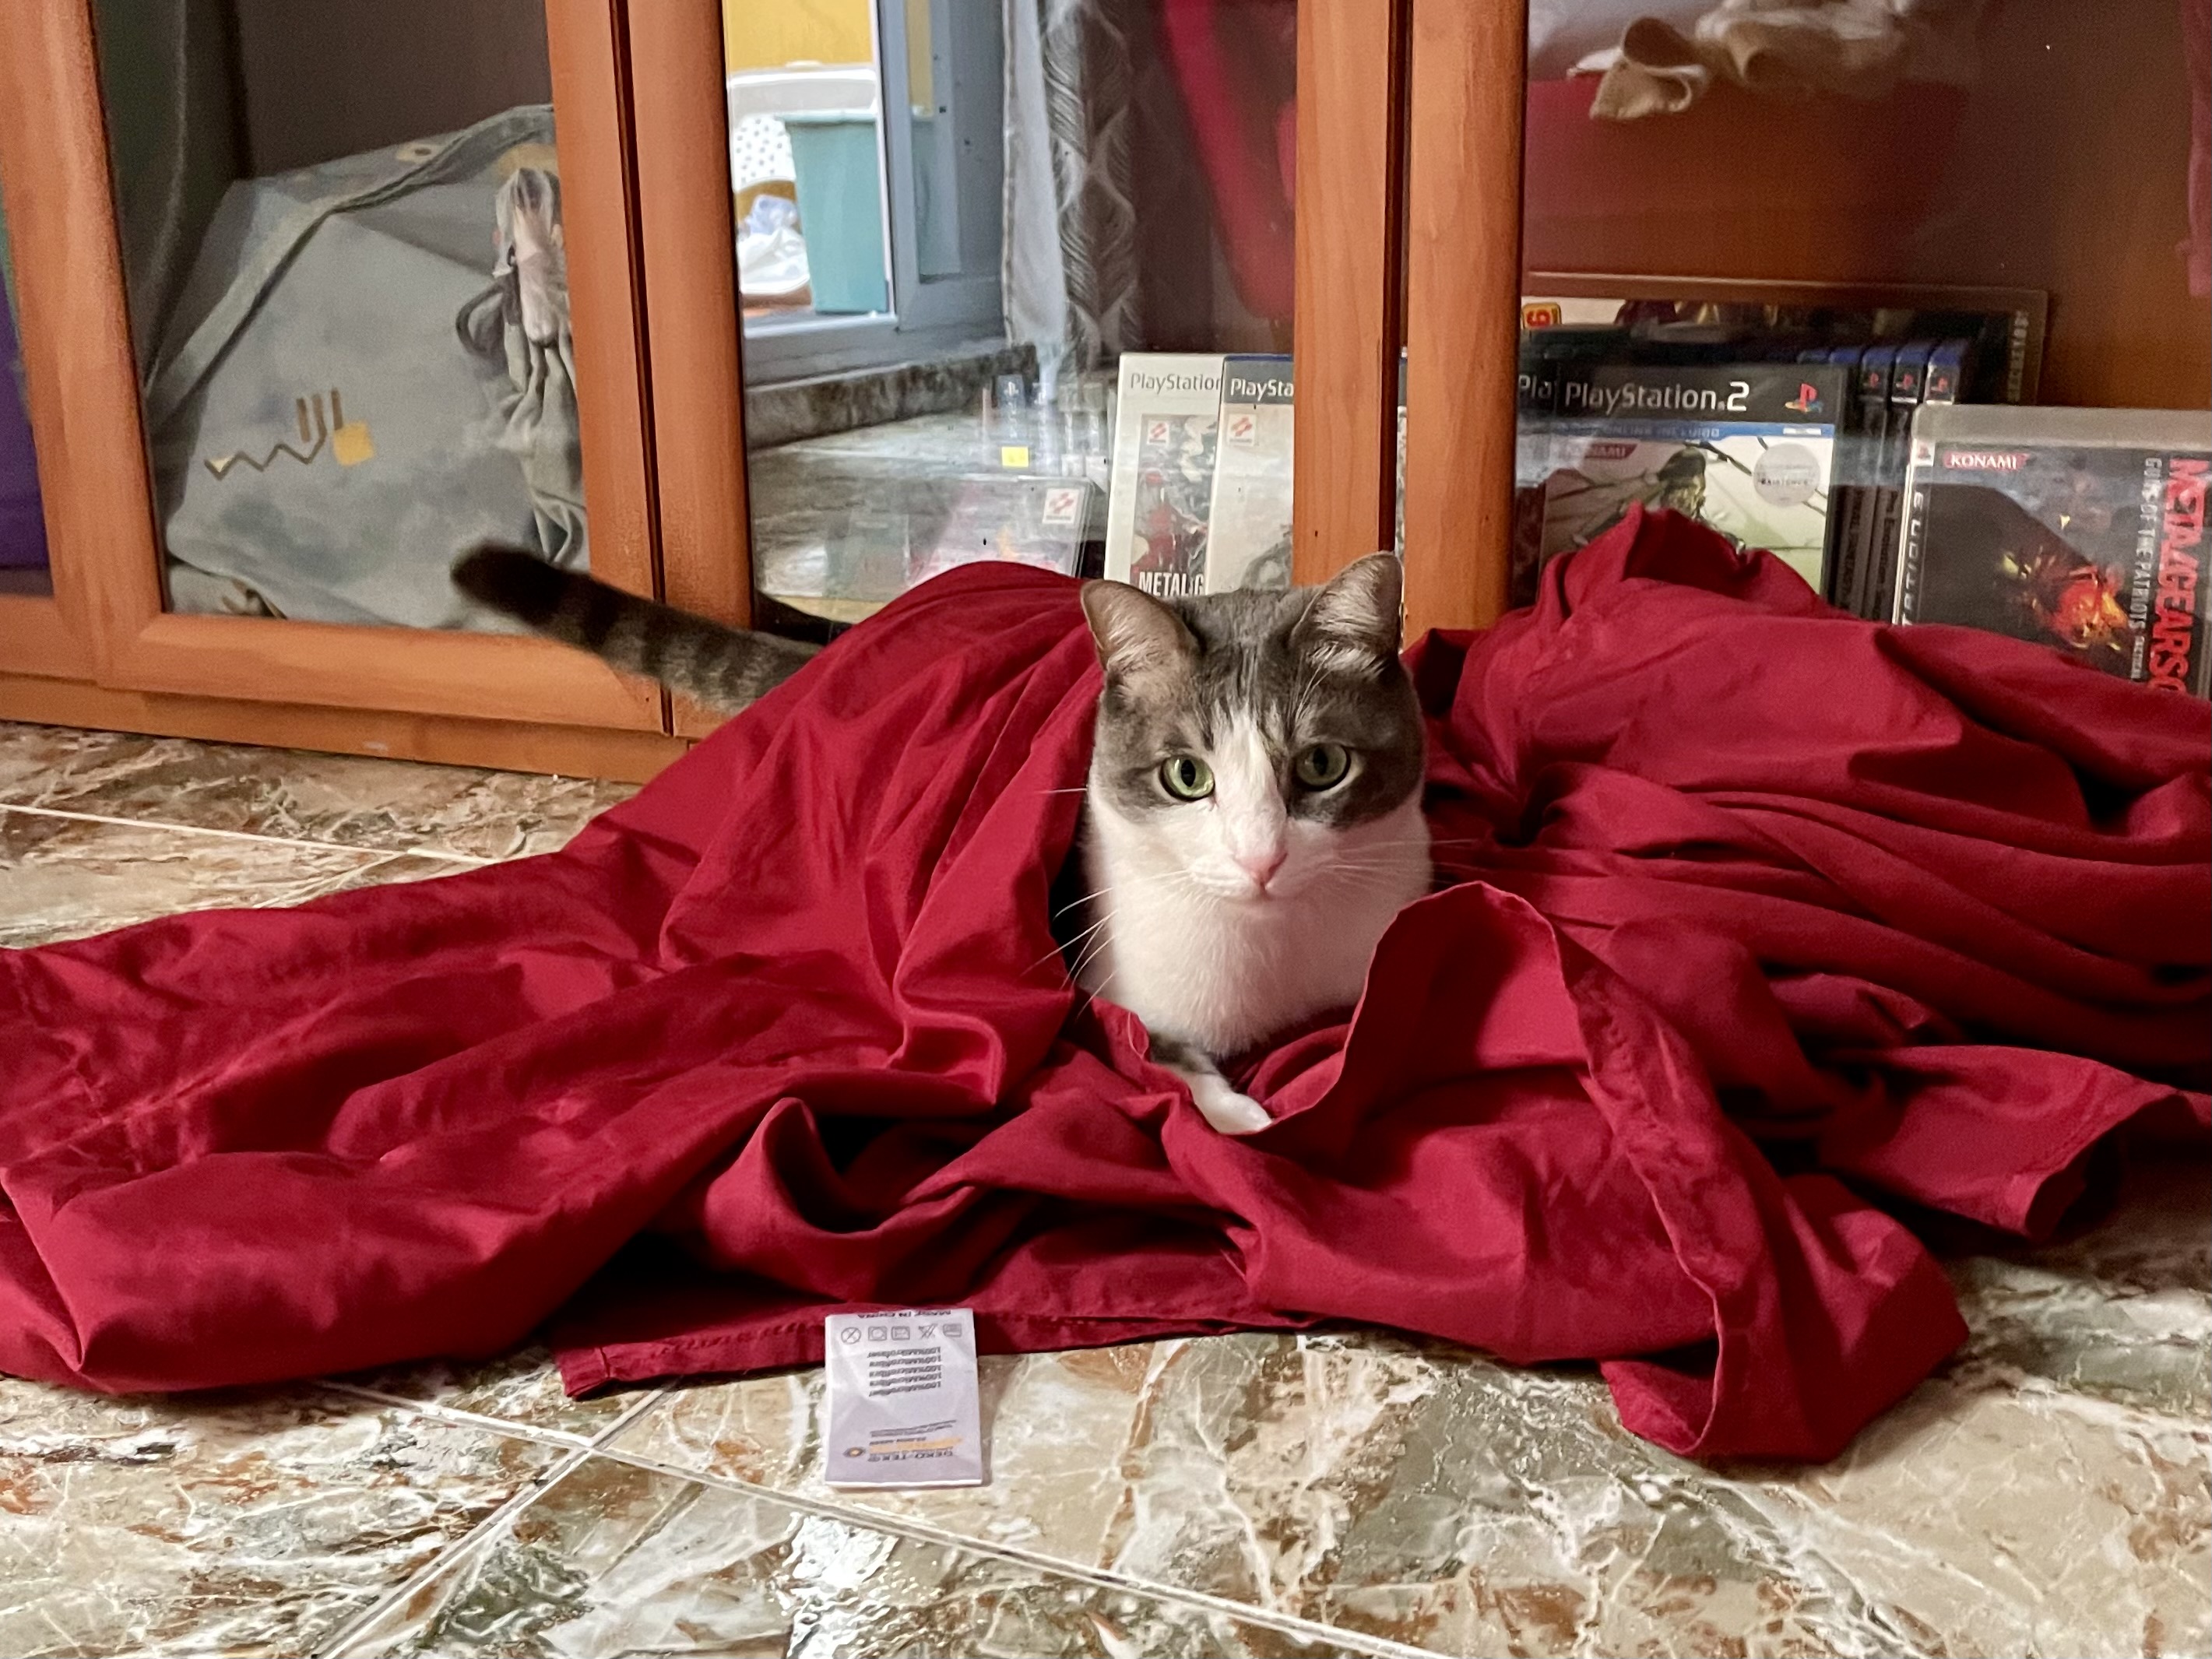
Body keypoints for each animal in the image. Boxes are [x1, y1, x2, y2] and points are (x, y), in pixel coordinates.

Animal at [453, 546, 1431, 1135]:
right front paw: (1242, 1120)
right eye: (1187, 776)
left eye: (1322, 764)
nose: (1262, 858)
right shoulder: (1098, 978)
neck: (1273, 954)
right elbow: (1165, 1054)